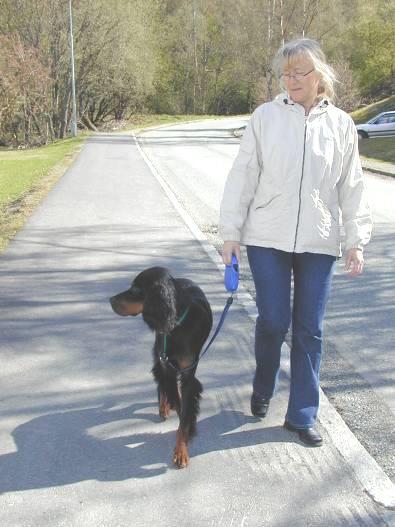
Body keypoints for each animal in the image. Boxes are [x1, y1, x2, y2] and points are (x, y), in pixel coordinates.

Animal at [110, 268, 212, 466]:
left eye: (135, 289)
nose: (110, 300)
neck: (177, 324)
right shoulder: (165, 362)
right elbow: (177, 402)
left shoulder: (188, 374)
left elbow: (184, 412)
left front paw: (181, 449)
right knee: (163, 385)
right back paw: (163, 407)